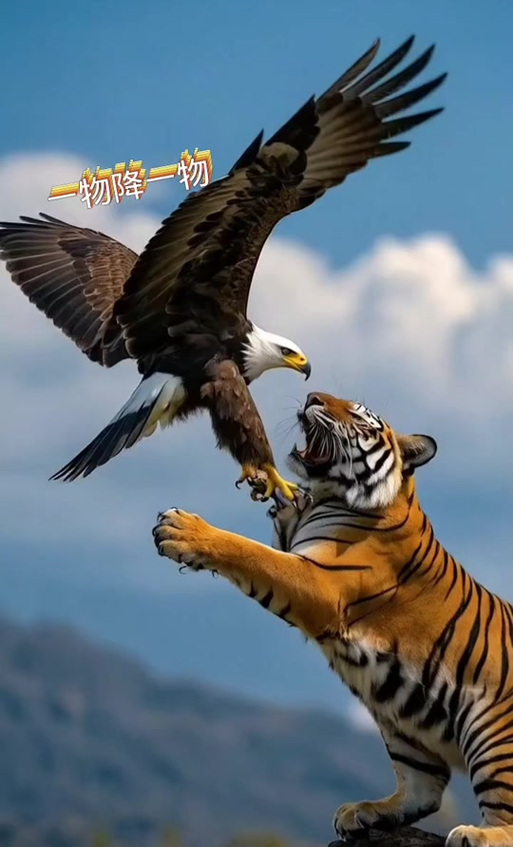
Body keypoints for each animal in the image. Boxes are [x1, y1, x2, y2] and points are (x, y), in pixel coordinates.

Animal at [153, 390, 513, 847]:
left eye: (360, 418)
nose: (312, 396)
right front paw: (269, 486)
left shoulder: (321, 581)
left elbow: (250, 552)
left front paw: (182, 531)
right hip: (402, 727)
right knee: (424, 789)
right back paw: (365, 812)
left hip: (492, 734)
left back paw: (477, 834)